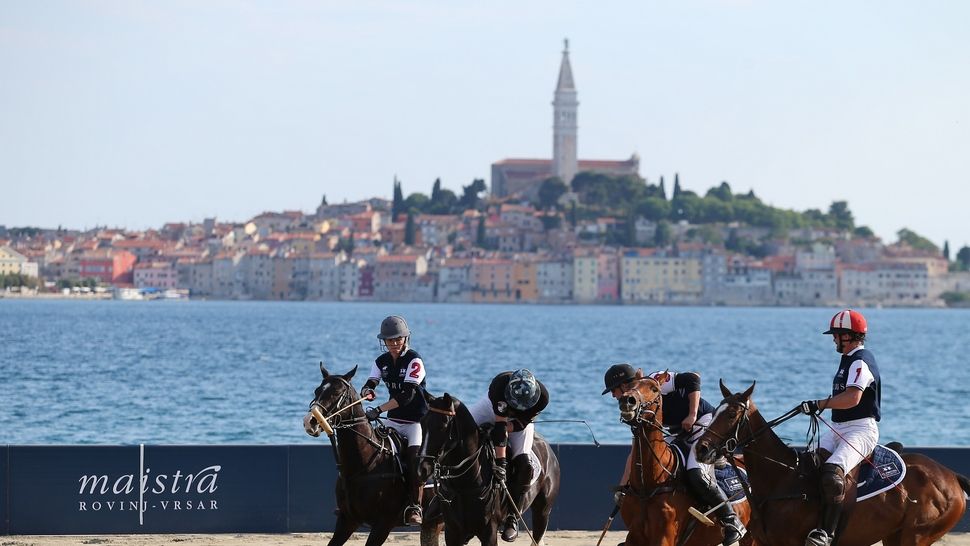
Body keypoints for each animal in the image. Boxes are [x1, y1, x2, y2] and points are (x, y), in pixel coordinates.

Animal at [302, 362, 442, 544]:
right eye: (317, 391)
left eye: (337, 393)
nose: (309, 422)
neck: (365, 463)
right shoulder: (347, 519)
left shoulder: (383, 523)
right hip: (433, 523)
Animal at [416, 392, 560, 544]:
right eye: (422, 423)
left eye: (443, 425)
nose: (422, 469)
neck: (465, 485)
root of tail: (548, 449)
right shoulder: (453, 531)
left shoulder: (489, 532)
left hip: (543, 511)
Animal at [612, 374, 756, 544]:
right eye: (629, 387)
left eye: (654, 389)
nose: (627, 400)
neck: (647, 486)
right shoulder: (634, 536)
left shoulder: (664, 537)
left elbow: (689, 378)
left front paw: (689, 420)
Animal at [692, 378, 968, 544]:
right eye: (715, 411)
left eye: (731, 414)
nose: (701, 448)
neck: (782, 479)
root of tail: (951, 475)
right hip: (895, 535)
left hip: (917, 535)